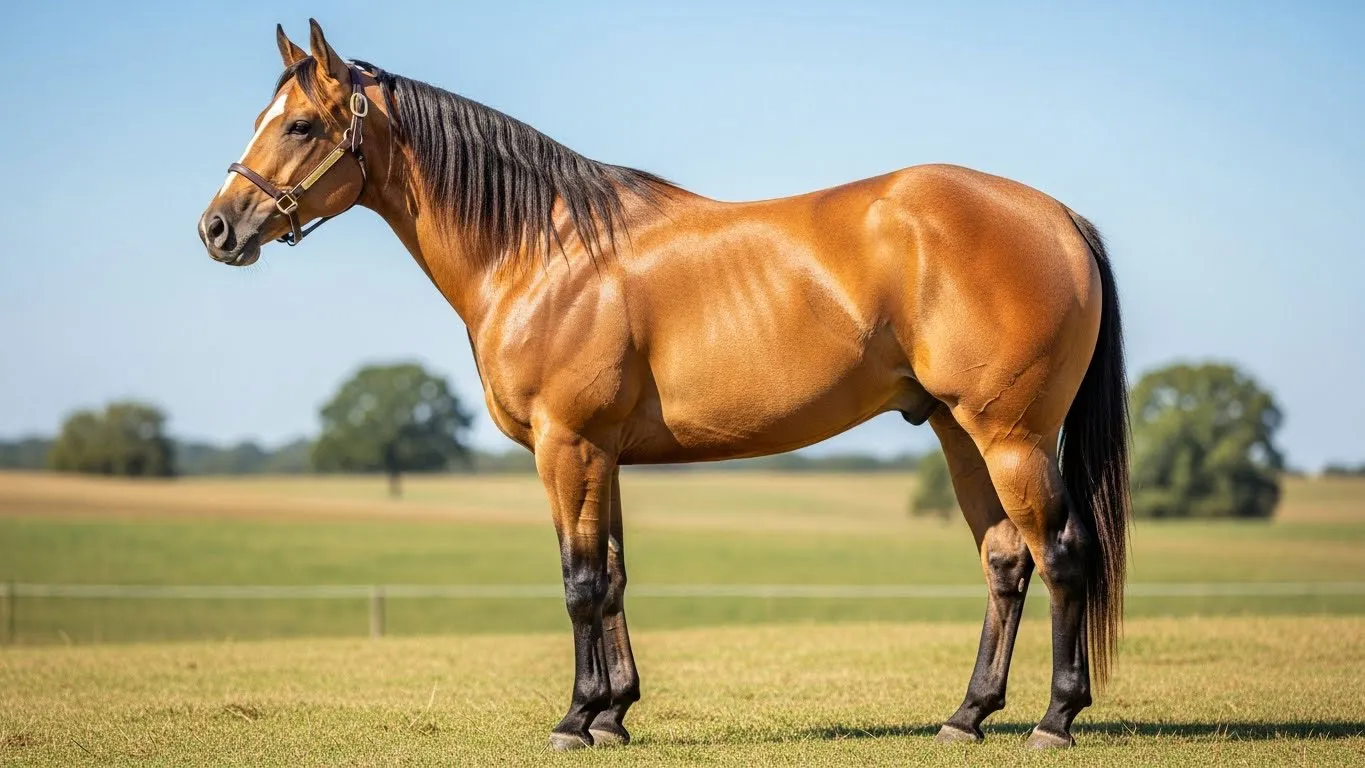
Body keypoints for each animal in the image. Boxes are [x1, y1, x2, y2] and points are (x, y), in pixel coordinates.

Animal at [199, 19, 1131, 751]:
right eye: (263, 119)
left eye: (302, 124)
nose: (217, 227)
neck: (542, 252)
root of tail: (1056, 215)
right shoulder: (600, 452)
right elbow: (610, 576)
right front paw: (614, 715)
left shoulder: (567, 444)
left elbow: (577, 581)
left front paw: (574, 720)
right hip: (956, 430)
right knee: (1005, 559)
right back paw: (966, 716)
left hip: (1009, 436)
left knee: (1062, 554)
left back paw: (1054, 720)